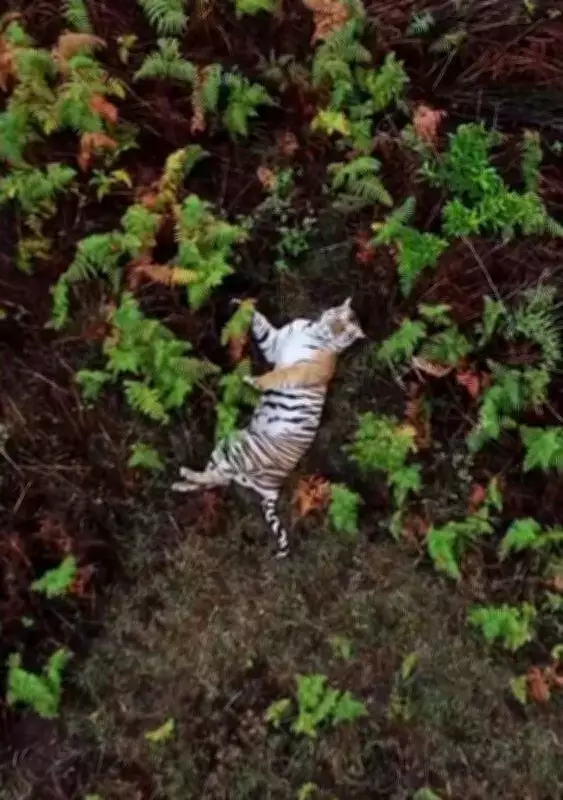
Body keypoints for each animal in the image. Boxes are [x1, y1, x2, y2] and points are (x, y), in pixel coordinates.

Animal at [172, 297, 366, 558]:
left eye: (344, 330)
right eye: (337, 320)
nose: (332, 329)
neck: (313, 331)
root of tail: (274, 487)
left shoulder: (300, 370)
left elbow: (277, 376)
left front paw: (253, 381)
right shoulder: (275, 343)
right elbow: (261, 325)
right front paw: (243, 306)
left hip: (243, 450)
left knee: (216, 478)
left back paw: (184, 475)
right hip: (229, 445)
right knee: (216, 478)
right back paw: (182, 483)